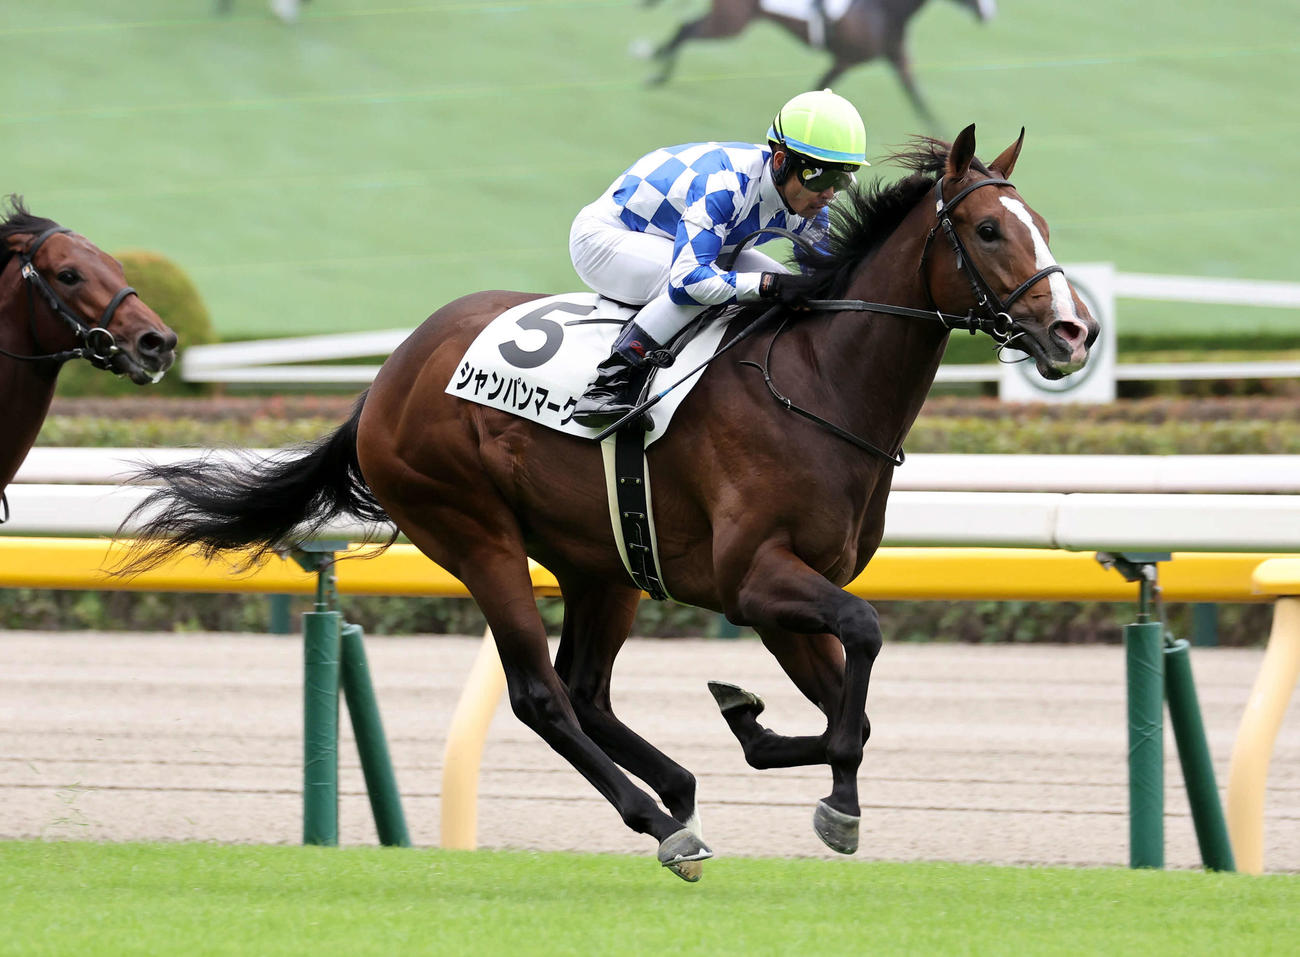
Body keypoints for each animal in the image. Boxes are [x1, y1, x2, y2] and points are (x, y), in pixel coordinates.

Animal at [117, 126, 1097, 880]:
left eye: (1043, 225)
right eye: (987, 229)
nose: (1073, 331)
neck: (820, 383)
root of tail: (385, 379)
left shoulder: (783, 592)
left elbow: (842, 708)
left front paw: (758, 728)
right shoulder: (755, 579)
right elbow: (861, 647)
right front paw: (832, 801)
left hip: (604, 561)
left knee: (587, 689)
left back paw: (681, 792)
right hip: (475, 532)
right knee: (541, 694)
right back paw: (662, 825)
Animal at [645, 0, 997, 126]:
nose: (988, 13)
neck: (881, 9)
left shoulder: (897, 59)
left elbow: (917, 97)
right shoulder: (845, 61)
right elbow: (817, 92)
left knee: (685, 29)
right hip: (731, 23)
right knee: (685, 31)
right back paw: (656, 74)